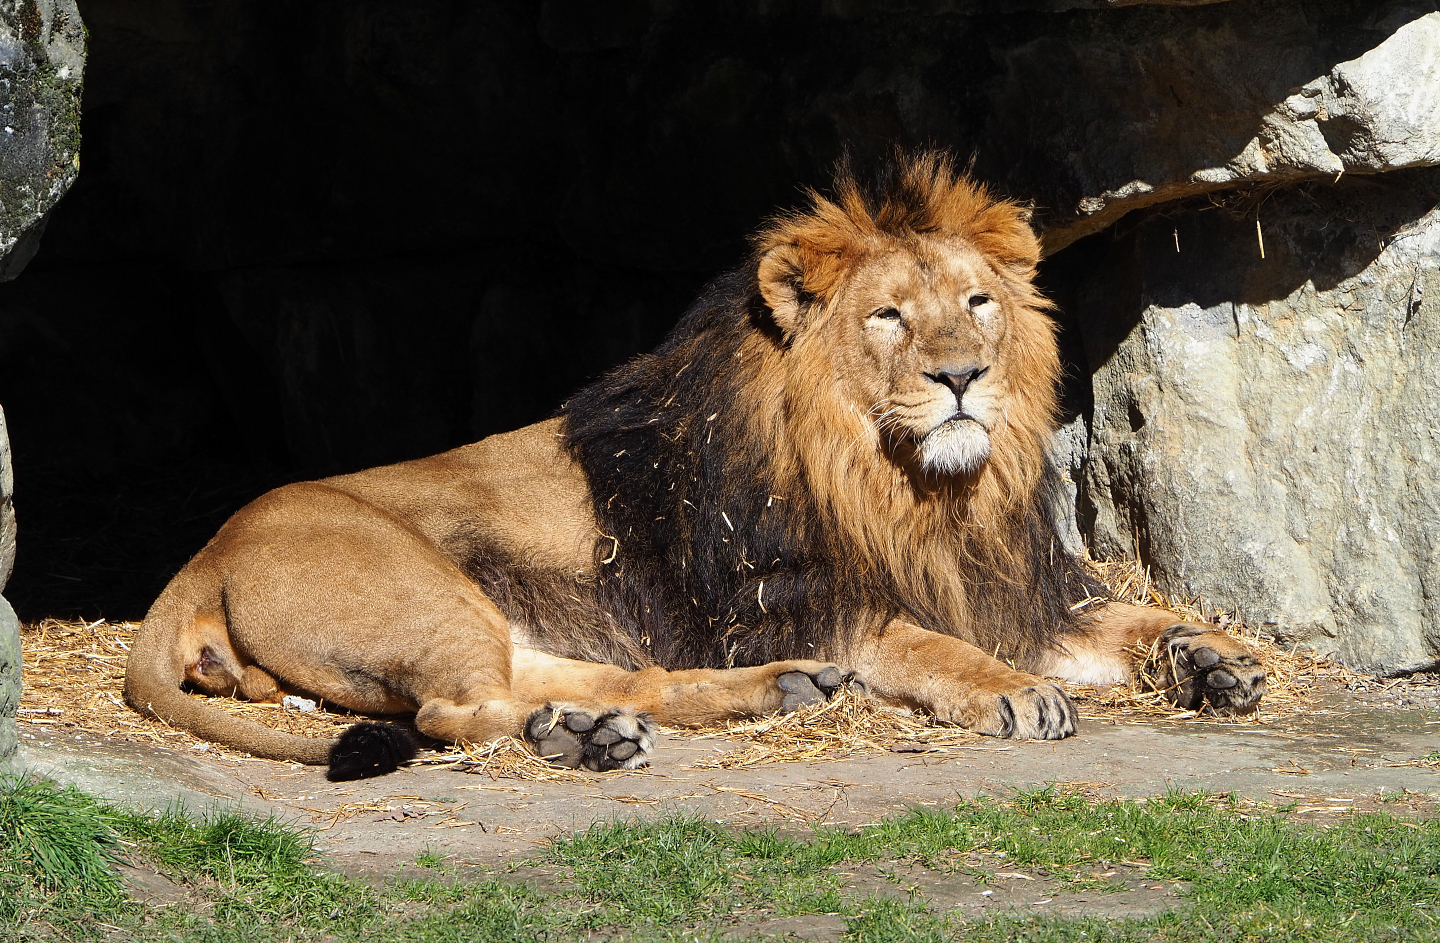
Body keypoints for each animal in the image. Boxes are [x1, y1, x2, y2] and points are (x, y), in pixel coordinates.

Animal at [123, 152, 1265, 780]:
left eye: (978, 301)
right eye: (889, 315)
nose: (963, 376)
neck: (911, 489)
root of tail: (202, 554)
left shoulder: (1016, 589)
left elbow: (1130, 618)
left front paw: (1211, 658)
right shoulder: (798, 600)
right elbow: (929, 644)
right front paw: (1013, 691)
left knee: (606, 679)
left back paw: (752, 696)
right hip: (422, 589)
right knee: (455, 712)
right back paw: (584, 737)